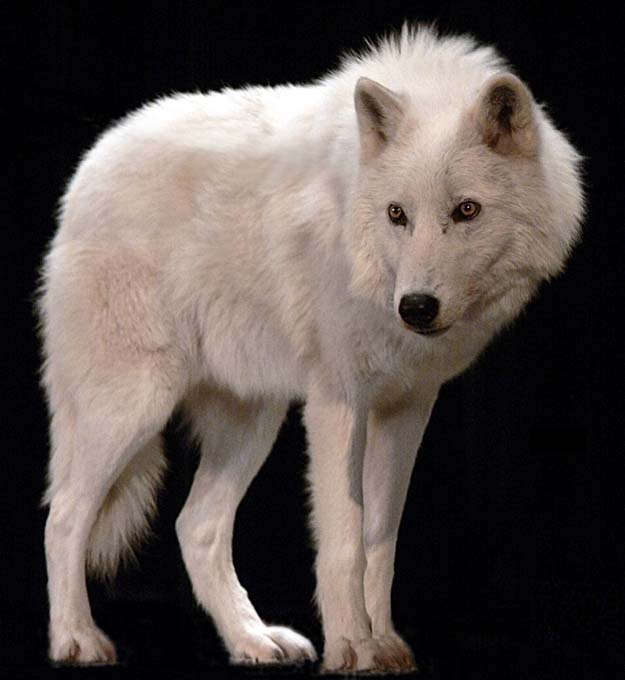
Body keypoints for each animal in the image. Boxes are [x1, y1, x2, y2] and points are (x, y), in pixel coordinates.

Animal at [37, 25, 583, 672]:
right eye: (398, 214)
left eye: (466, 210)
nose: (416, 307)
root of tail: (86, 172)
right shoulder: (336, 402)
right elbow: (345, 541)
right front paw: (351, 647)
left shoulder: (406, 408)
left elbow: (381, 539)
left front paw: (384, 642)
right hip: (131, 409)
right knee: (64, 517)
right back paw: (76, 639)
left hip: (251, 423)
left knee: (196, 528)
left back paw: (252, 641)